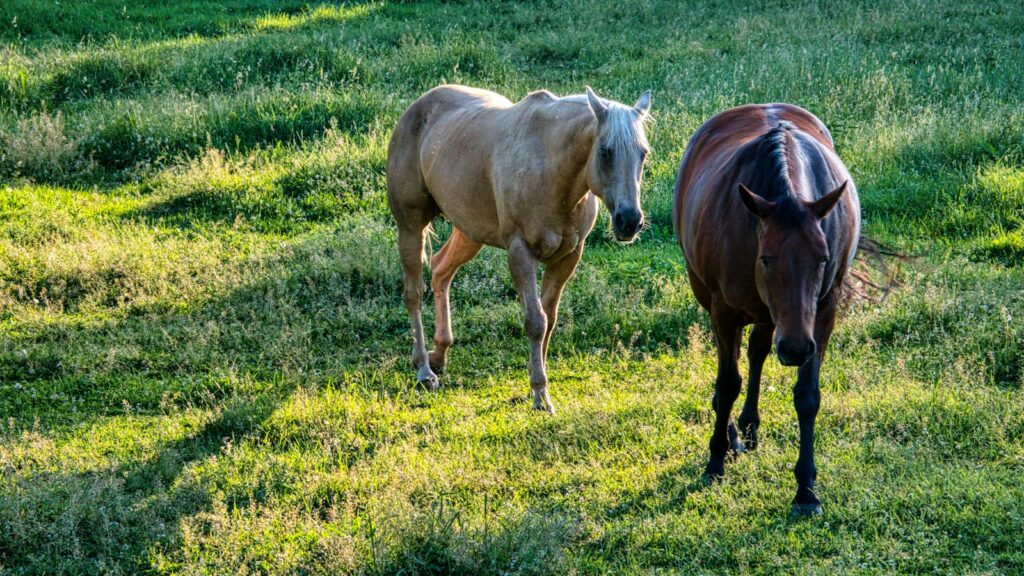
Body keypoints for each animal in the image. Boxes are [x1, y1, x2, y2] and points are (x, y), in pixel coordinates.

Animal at [387, 84, 652, 413]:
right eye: (605, 150)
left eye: (643, 153)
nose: (629, 220)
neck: (551, 172)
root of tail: (418, 106)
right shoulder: (521, 253)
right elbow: (535, 321)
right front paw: (540, 395)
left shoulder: (568, 257)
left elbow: (549, 319)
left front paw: (536, 383)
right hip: (410, 227)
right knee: (413, 293)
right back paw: (424, 370)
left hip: (469, 232)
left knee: (440, 270)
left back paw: (441, 353)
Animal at [673, 104, 860, 515]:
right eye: (766, 258)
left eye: (823, 258)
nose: (794, 349)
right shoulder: (724, 309)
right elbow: (727, 382)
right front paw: (715, 460)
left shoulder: (822, 311)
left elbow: (807, 395)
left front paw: (806, 488)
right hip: (709, 295)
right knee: (732, 362)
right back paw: (732, 434)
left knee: (757, 350)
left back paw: (749, 423)